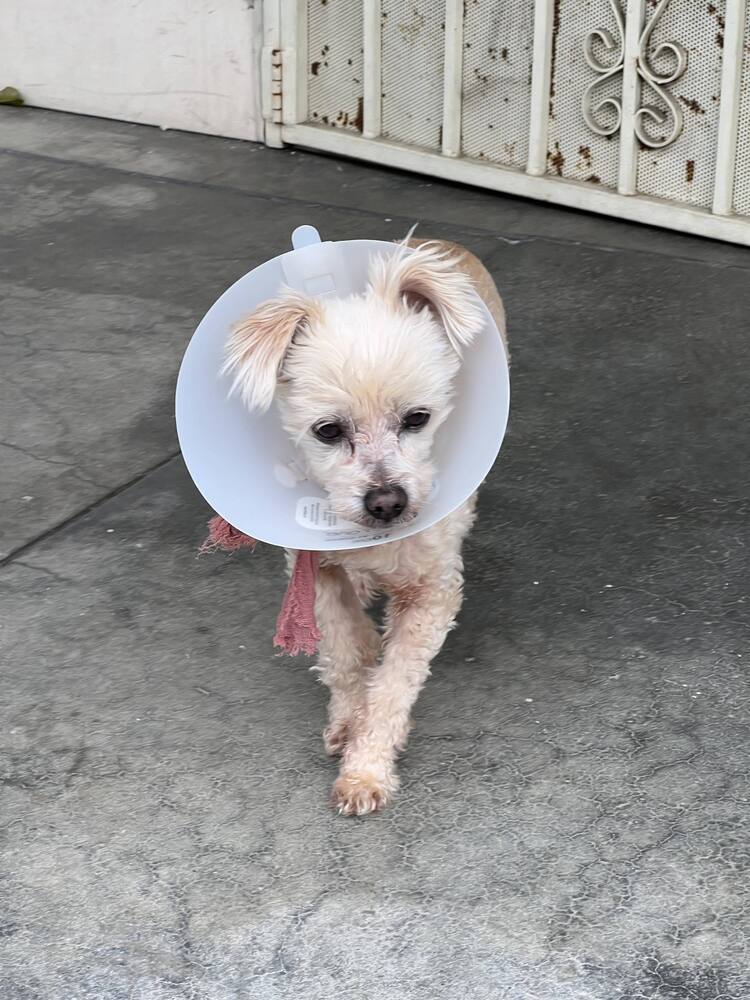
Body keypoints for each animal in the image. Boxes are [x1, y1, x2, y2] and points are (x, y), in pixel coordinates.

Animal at [220, 238, 508, 816]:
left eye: (417, 418)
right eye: (328, 431)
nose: (387, 503)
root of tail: (441, 244)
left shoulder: (432, 595)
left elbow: (394, 682)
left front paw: (366, 768)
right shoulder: (317, 573)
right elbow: (347, 650)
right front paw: (348, 720)